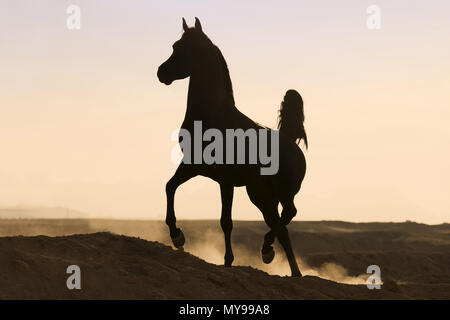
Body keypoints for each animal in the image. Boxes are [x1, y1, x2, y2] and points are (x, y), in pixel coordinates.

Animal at [156, 18, 308, 278]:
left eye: (184, 48)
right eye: (175, 45)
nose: (161, 72)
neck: (213, 115)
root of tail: (291, 144)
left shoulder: (225, 179)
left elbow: (226, 221)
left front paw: (226, 259)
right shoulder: (195, 167)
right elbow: (170, 187)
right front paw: (178, 236)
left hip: (282, 192)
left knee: (289, 214)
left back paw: (267, 250)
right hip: (262, 196)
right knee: (282, 228)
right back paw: (291, 270)